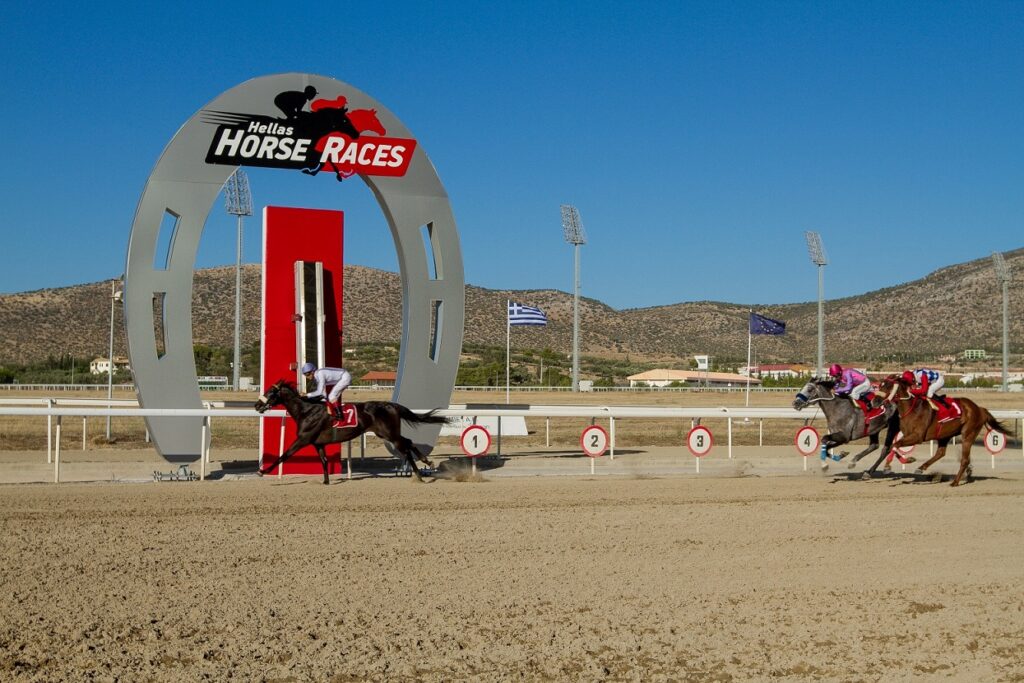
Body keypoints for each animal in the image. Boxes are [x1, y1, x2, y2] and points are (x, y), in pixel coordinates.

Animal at [252, 378, 448, 485]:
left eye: (270, 392)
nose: (257, 405)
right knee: (408, 441)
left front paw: (262, 471)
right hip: (385, 433)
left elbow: (284, 455)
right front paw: (326, 481)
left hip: (389, 433)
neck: (306, 411)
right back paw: (426, 463)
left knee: (405, 446)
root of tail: (391, 405)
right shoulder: (318, 443)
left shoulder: (303, 439)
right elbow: (324, 461)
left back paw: (420, 473)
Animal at [876, 374, 1011, 485]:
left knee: (964, 459)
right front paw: (905, 461)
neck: (912, 409)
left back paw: (955, 482)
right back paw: (921, 468)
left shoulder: (917, 437)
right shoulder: (907, 435)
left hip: (968, 434)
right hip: (944, 435)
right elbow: (894, 446)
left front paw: (889, 466)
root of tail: (980, 409)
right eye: (880, 385)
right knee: (940, 453)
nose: (875, 401)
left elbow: (895, 445)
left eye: (888, 386)